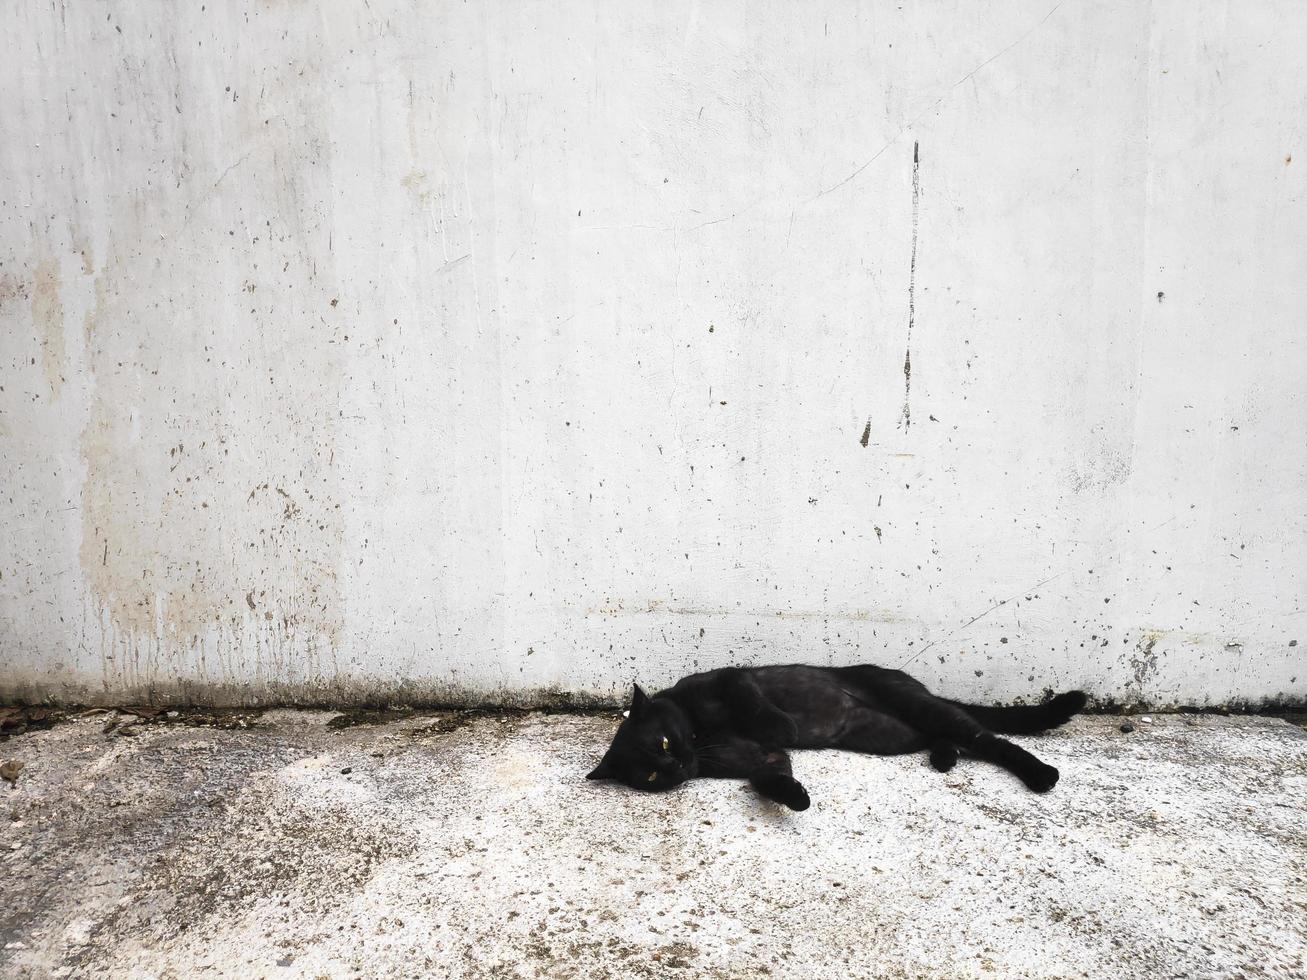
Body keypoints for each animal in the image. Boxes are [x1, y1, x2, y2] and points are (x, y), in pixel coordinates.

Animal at [588, 669, 1087, 815]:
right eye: (650, 775)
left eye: (663, 743)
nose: (675, 768)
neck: (701, 737)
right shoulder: (762, 759)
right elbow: (769, 780)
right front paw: (796, 797)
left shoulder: (733, 678)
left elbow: (755, 703)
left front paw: (783, 724)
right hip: (891, 734)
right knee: (953, 737)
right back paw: (945, 757)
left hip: (915, 705)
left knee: (988, 738)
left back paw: (1042, 774)